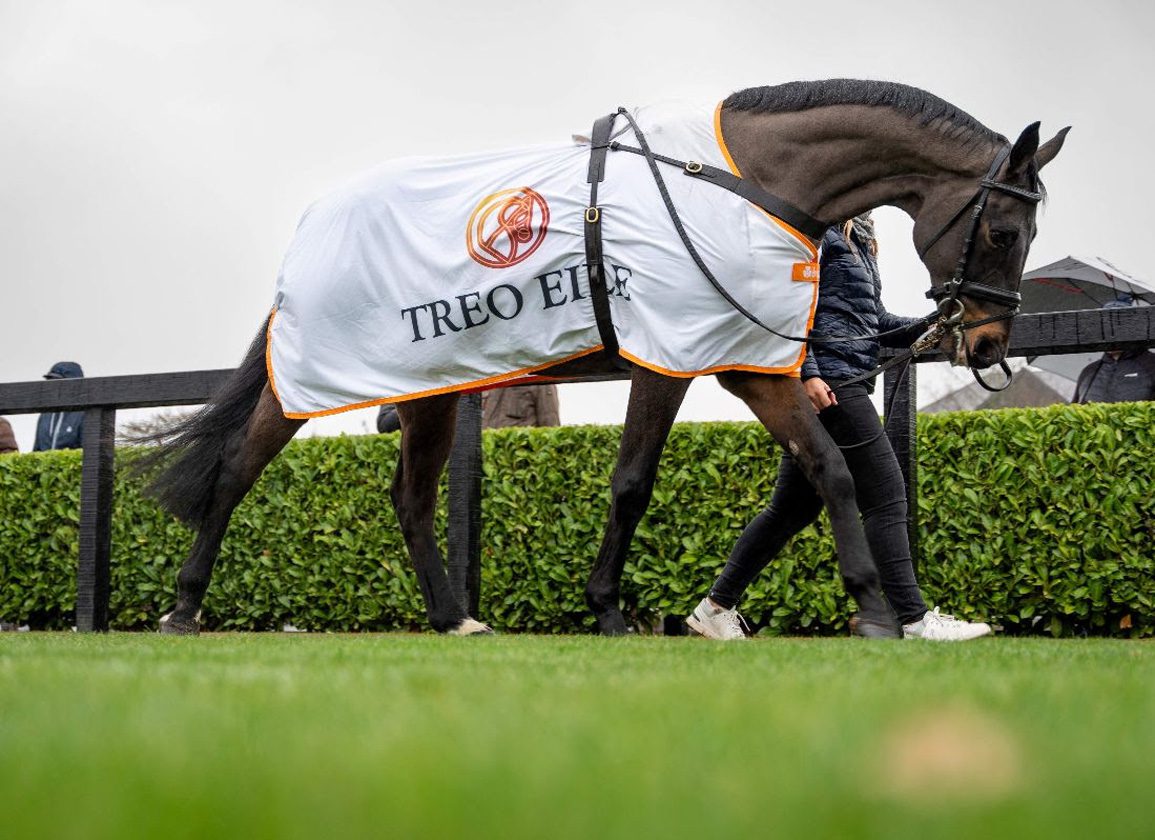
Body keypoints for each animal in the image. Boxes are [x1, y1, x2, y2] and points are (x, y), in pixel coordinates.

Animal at [144, 79, 1067, 637]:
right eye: (1002, 230)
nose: (985, 343)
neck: (740, 182)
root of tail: (313, 228)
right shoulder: (668, 358)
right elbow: (631, 483)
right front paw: (608, 610)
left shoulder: (748, 365)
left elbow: (831, 470)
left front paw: (872, 607)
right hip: (308, 383)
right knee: (236, 471)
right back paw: (184, 607)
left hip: (434, 386)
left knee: (410, 498)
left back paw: (453, 618)